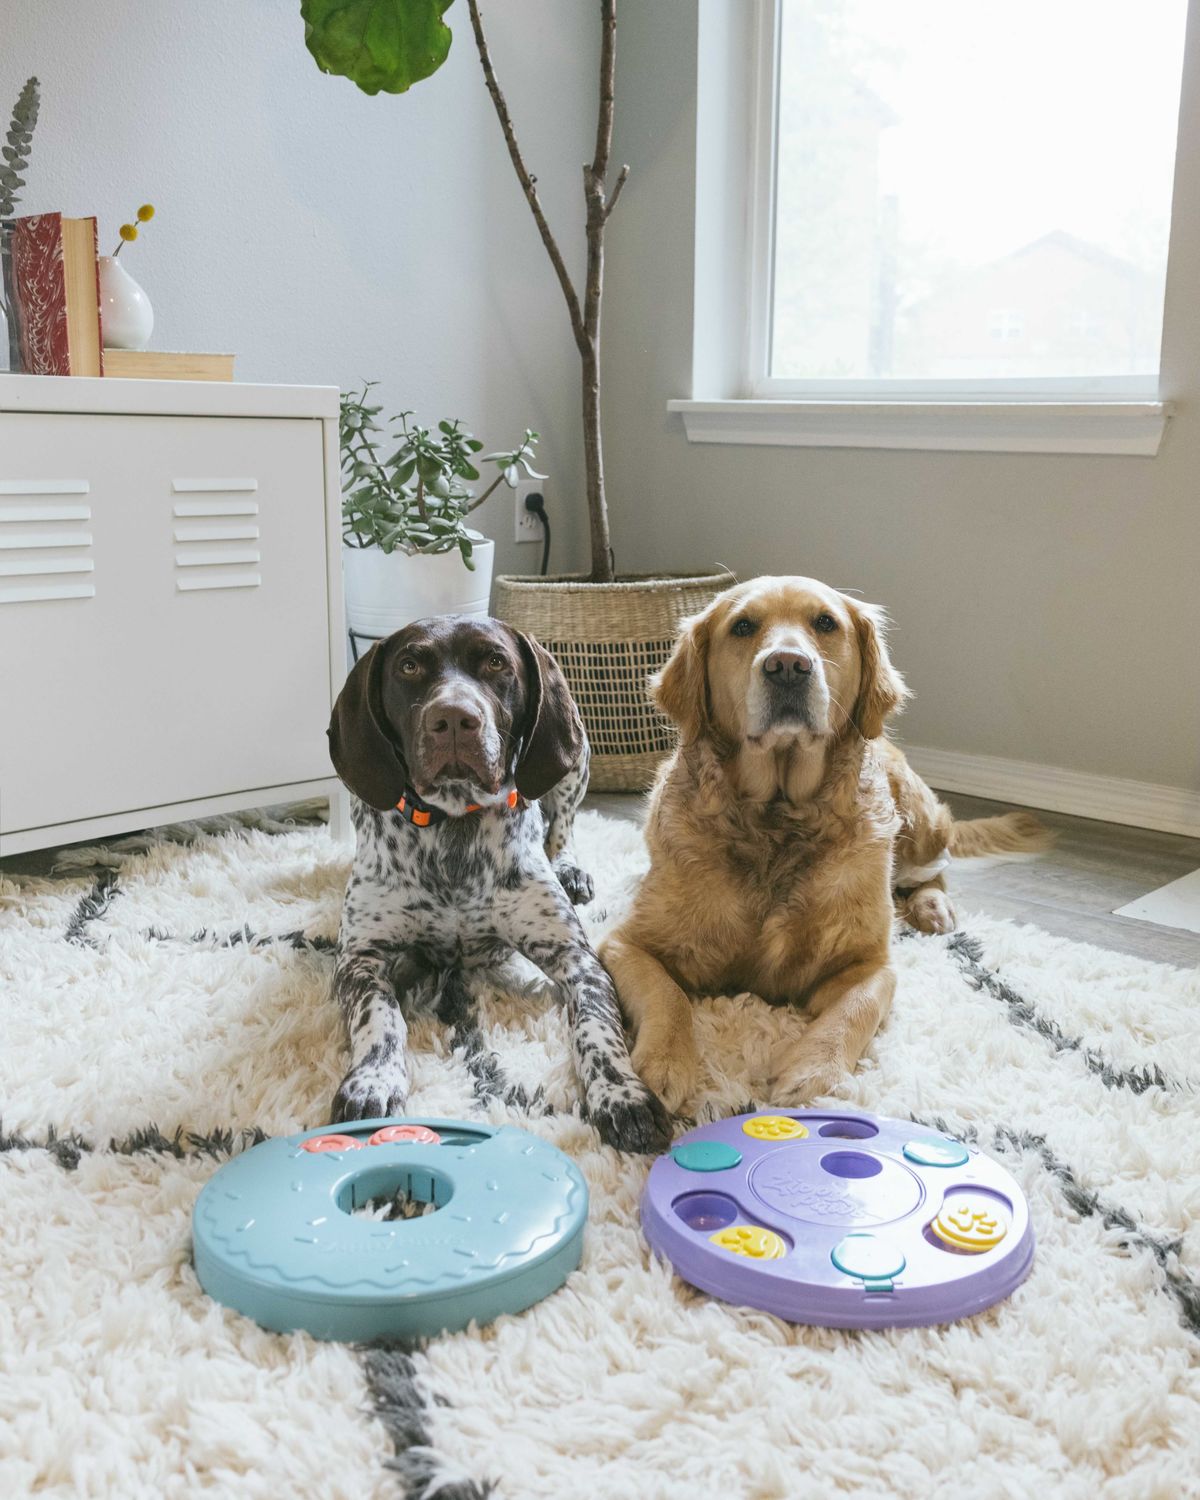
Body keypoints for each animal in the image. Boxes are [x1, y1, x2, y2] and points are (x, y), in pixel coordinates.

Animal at [324, 615, 669, 1152]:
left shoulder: (577, 959)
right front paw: (371, 1082)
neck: (453, 826)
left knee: (562, 823)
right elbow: (380, 1017)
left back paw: (570, 868)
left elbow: (597, 1027)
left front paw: (621, 1093)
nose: (453, 719)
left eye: (494, 661)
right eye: (409, 665)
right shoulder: (360, 958)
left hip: (574, 762)